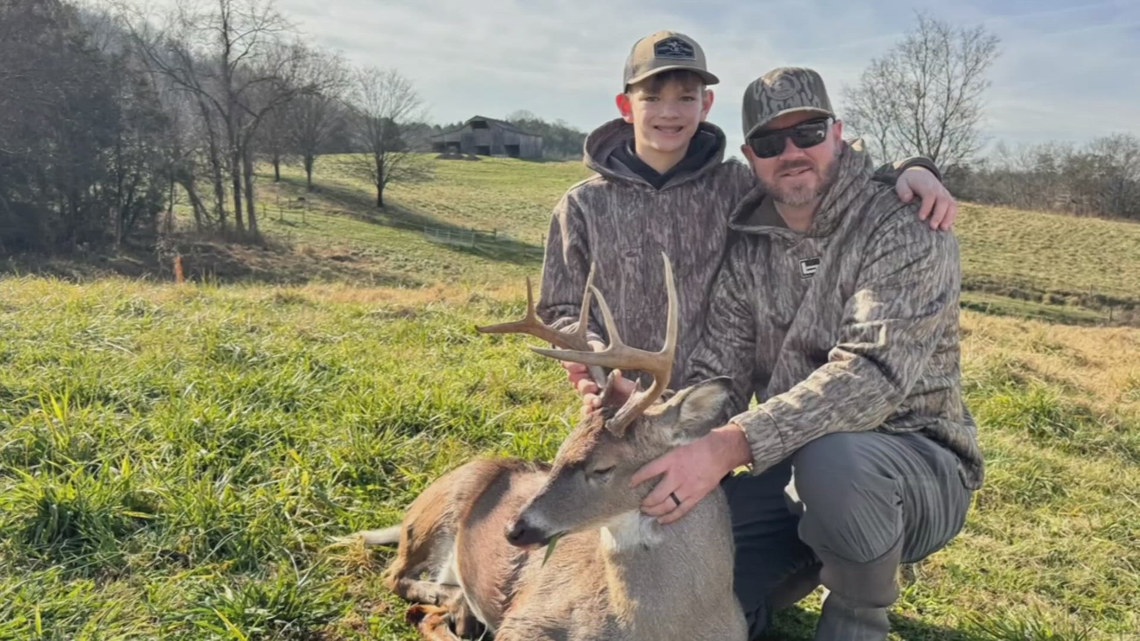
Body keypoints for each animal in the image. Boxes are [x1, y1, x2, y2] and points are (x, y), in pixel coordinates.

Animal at [349, 254, 748, 641]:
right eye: (559, 453)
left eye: (602, 467)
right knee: (397, 577)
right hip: (434, 515)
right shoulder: (526, 619)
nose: (513, 529)